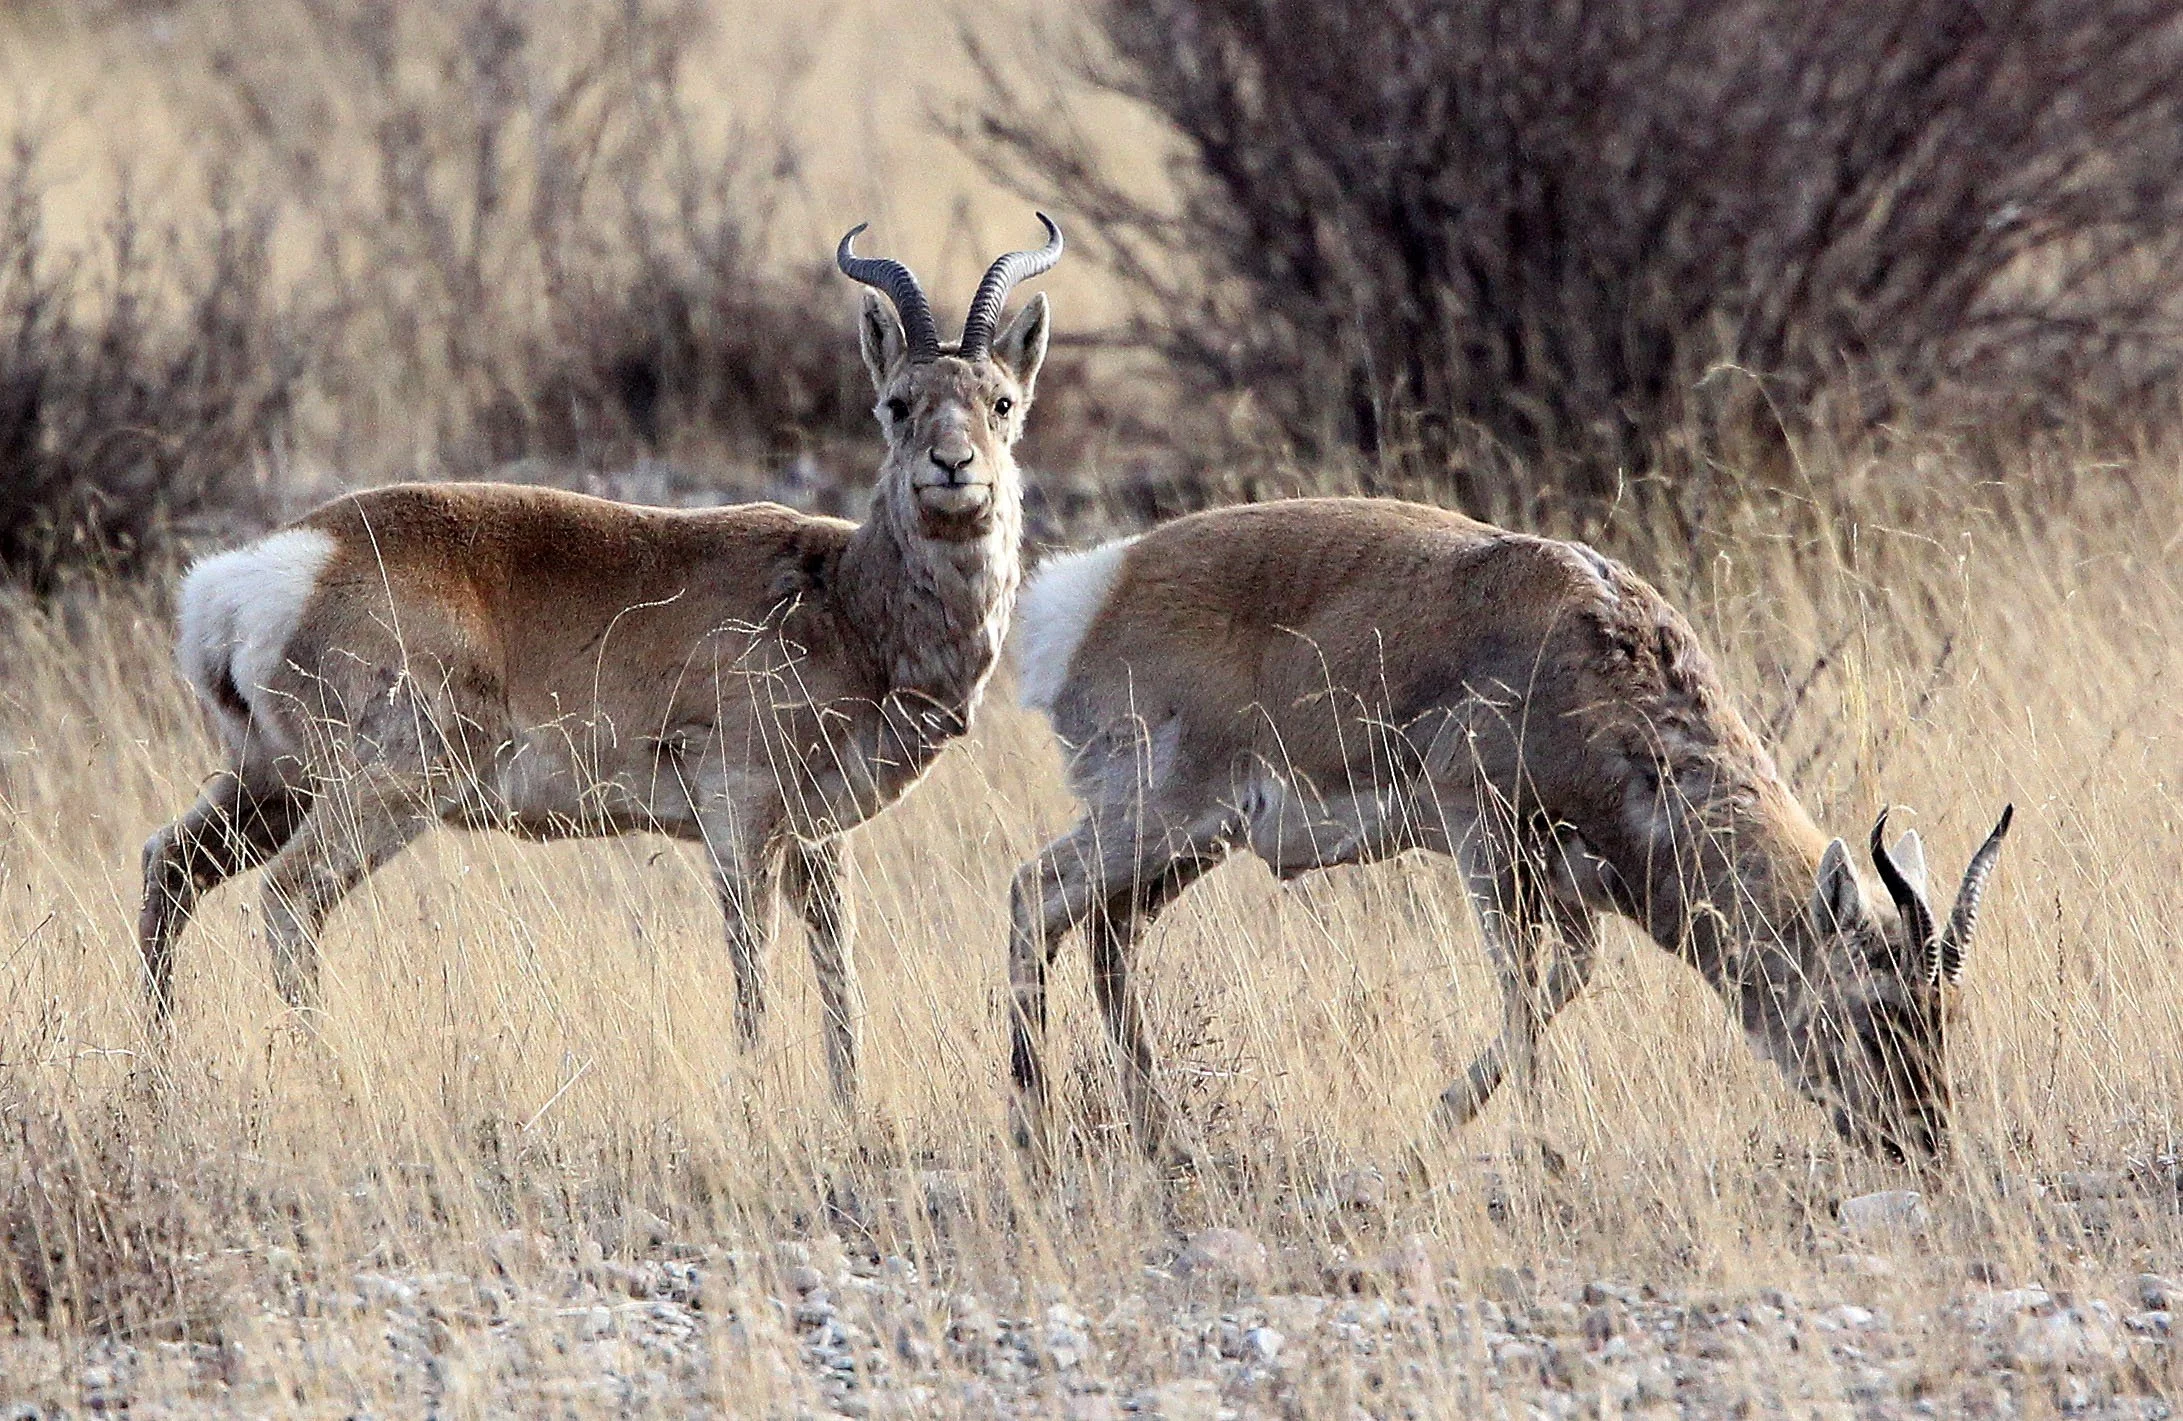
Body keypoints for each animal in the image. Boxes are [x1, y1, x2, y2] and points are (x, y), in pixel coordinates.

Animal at [138, 215, 1063, 1106]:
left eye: (1002, 400)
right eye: (897, 402)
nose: (954, 468)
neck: (839, 593)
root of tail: (271, 566)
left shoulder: (817, 838)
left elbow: (836, 964)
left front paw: (847, 1104)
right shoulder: (740, 821)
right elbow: (751, 962)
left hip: (272, 785)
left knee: (170, 867)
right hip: (383, 793)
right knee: (288, 902)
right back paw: (331, 1073)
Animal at [1007, 497, 2011, 1164]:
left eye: (1947, 1015)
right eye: (1872, 1006)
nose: (1923, 1144)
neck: (1591, 643)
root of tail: (1091, 588)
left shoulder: (1567, 889)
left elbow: (1564, 978)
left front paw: (1448, 1125)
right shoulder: (1481, 841)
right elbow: (1522, 991)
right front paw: (1533, 1146)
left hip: (1192, 845)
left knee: (1107, 934)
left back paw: (1164, 1140)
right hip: (1161, 818)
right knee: (1035, 892)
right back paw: (1032, 1133)